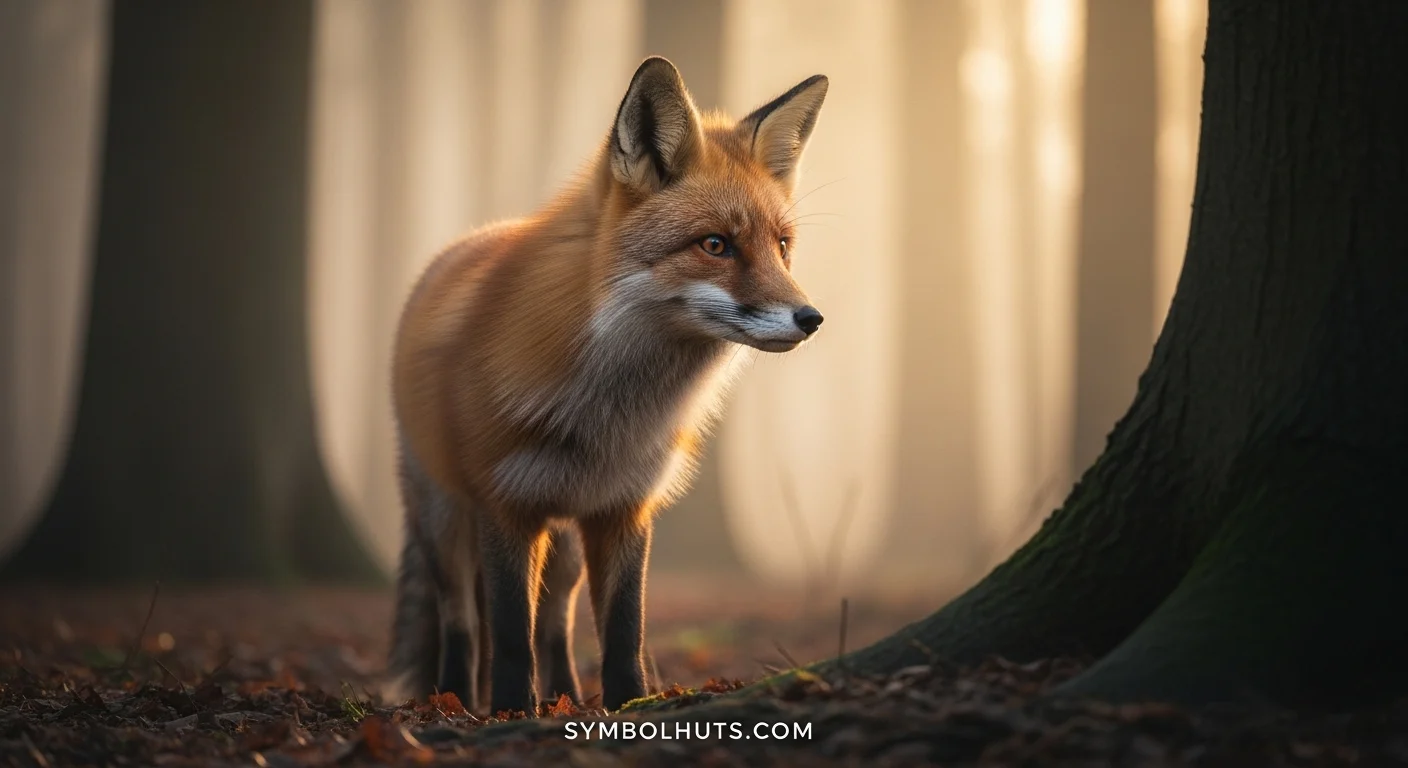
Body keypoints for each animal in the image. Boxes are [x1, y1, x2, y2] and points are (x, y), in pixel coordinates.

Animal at [384, 56, 829, 716]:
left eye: (781, 247)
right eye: (715, 245)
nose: (812, 318)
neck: (606, 413)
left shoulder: (623, 508)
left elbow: (622, 630)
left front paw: (629, 707)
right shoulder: (505, 507)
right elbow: (510, 635)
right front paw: (512, 710)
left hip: (565, 546)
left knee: (557, 621)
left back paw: (565, 697)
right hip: (445, 519)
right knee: (461, 620)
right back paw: (455, 700)